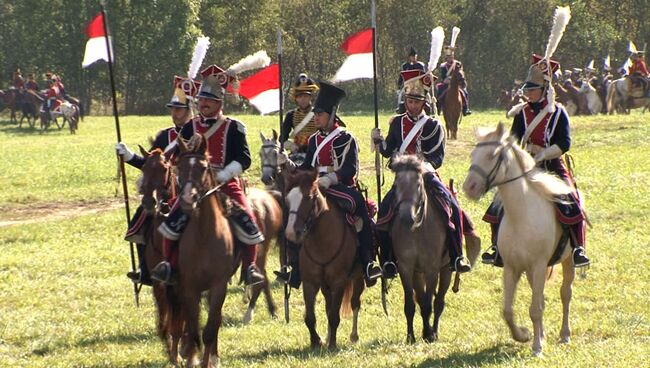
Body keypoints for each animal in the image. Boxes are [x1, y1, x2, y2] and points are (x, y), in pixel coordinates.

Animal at [284, 168, 364, 350]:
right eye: (288, 199)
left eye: (309, 197)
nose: (291, 233)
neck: (321, 241)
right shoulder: (310, 282)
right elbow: (310, 317)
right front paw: (317, 341)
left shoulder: (339, 281)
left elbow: (334, 316)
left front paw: (332, 345)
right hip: (325, 285)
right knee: (328, 306)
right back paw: (327, 337)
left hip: (358, 277)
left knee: (355, 302)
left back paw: (353, 335)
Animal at [460, 124, 576, 356]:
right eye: (472, 155)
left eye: (492, 155)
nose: (469, 187)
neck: (521, 214)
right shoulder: (512, 267)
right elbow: (508, 310)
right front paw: (524, 335)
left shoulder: (539, 266)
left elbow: (536, 308)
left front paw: (537, 347)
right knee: (541, 298)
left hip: (568, 260)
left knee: (565, 293)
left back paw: (564, 334)